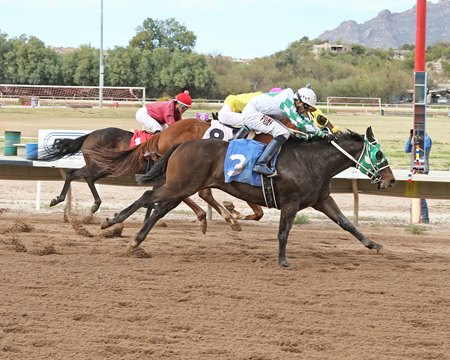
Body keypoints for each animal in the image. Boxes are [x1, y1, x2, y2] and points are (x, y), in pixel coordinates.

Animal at [100, 126, 396, 268]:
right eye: (379, 154)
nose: (391, 180)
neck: (312, 161)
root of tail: (181, 143)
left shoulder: (322, 200)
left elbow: (347, 224)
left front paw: (375, 245)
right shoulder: (290, 204)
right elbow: (283, 233)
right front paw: (282, 261)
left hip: (181, 188)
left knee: (158, 207)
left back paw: (135, 242)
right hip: (179, 186)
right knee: (147, 195)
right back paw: (111, 221)